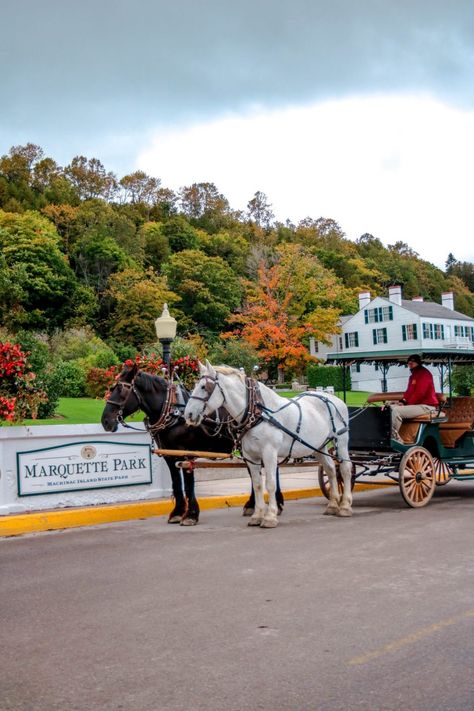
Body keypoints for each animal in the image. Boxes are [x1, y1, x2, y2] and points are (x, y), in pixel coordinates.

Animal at [100, 364, 284, 524]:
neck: (173, 412)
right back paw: (255, 505)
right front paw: (177, 512)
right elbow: (176, 483)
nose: (105, 421)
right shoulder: (169, 455)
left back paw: (271, 504)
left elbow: (188, 484)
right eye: (112, 389)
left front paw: (191, 515)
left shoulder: (186, 453)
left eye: (122, 391)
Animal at [183, 364, 354, 524]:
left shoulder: (269, 452)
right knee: (331, 469)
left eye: (204, 387)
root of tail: (332, 398)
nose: (188, 414)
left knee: (345, 468)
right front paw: (257, 515)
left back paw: (345, 506)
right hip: (319, 446)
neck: (258, 413)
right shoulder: (251, 457)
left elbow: (270, 483)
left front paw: (270, 516)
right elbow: (258, 484)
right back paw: (333, 505)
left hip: (341, 440)